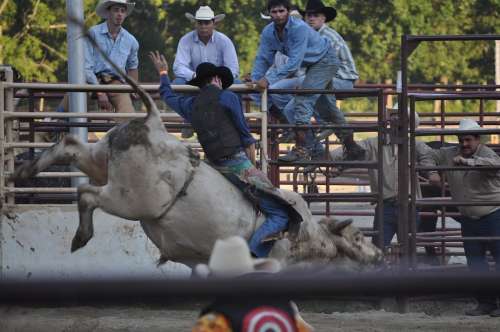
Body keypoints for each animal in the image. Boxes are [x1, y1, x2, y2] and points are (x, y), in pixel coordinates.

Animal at [10, 22, 382, 272]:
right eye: (358, 237)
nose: (379, 254)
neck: (306, 232)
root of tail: (153, 123)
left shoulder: (199, 260)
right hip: (130, 199)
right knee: (87, 194)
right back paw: (80, 235)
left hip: (101, 160)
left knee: (71, 146)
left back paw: (26, 170)